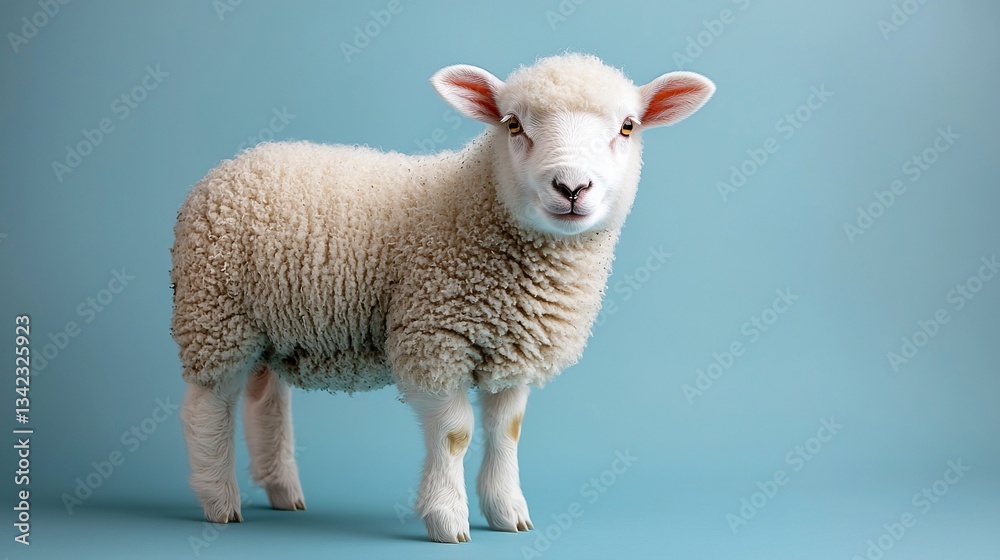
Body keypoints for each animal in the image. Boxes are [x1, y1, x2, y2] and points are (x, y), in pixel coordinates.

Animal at [171, 53, 714, 543]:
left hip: (271, 328)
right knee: (208, 407)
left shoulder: (514, 347)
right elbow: (456, 434)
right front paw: (447, 519)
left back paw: (284, 492)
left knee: (265, 399)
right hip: (216, 316)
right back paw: (220, 502)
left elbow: (507, 429)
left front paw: (508, 512)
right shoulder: (433, 339)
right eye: (513, 125)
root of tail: (237, 162)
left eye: (627, 127)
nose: (572, 186)